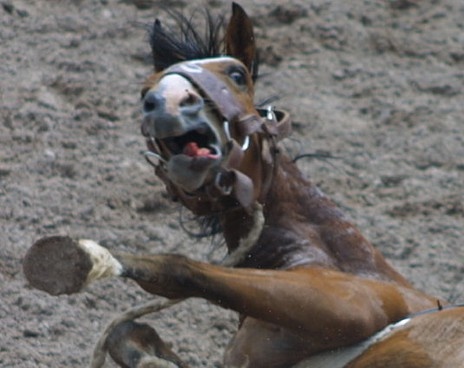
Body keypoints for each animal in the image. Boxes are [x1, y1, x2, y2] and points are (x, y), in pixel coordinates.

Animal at [24, 2, 464, 368]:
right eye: (145, 90)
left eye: (236, 74)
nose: (165, 103)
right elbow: (127, 332)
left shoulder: (350, 305)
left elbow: (179, 269)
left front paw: (87, 258)